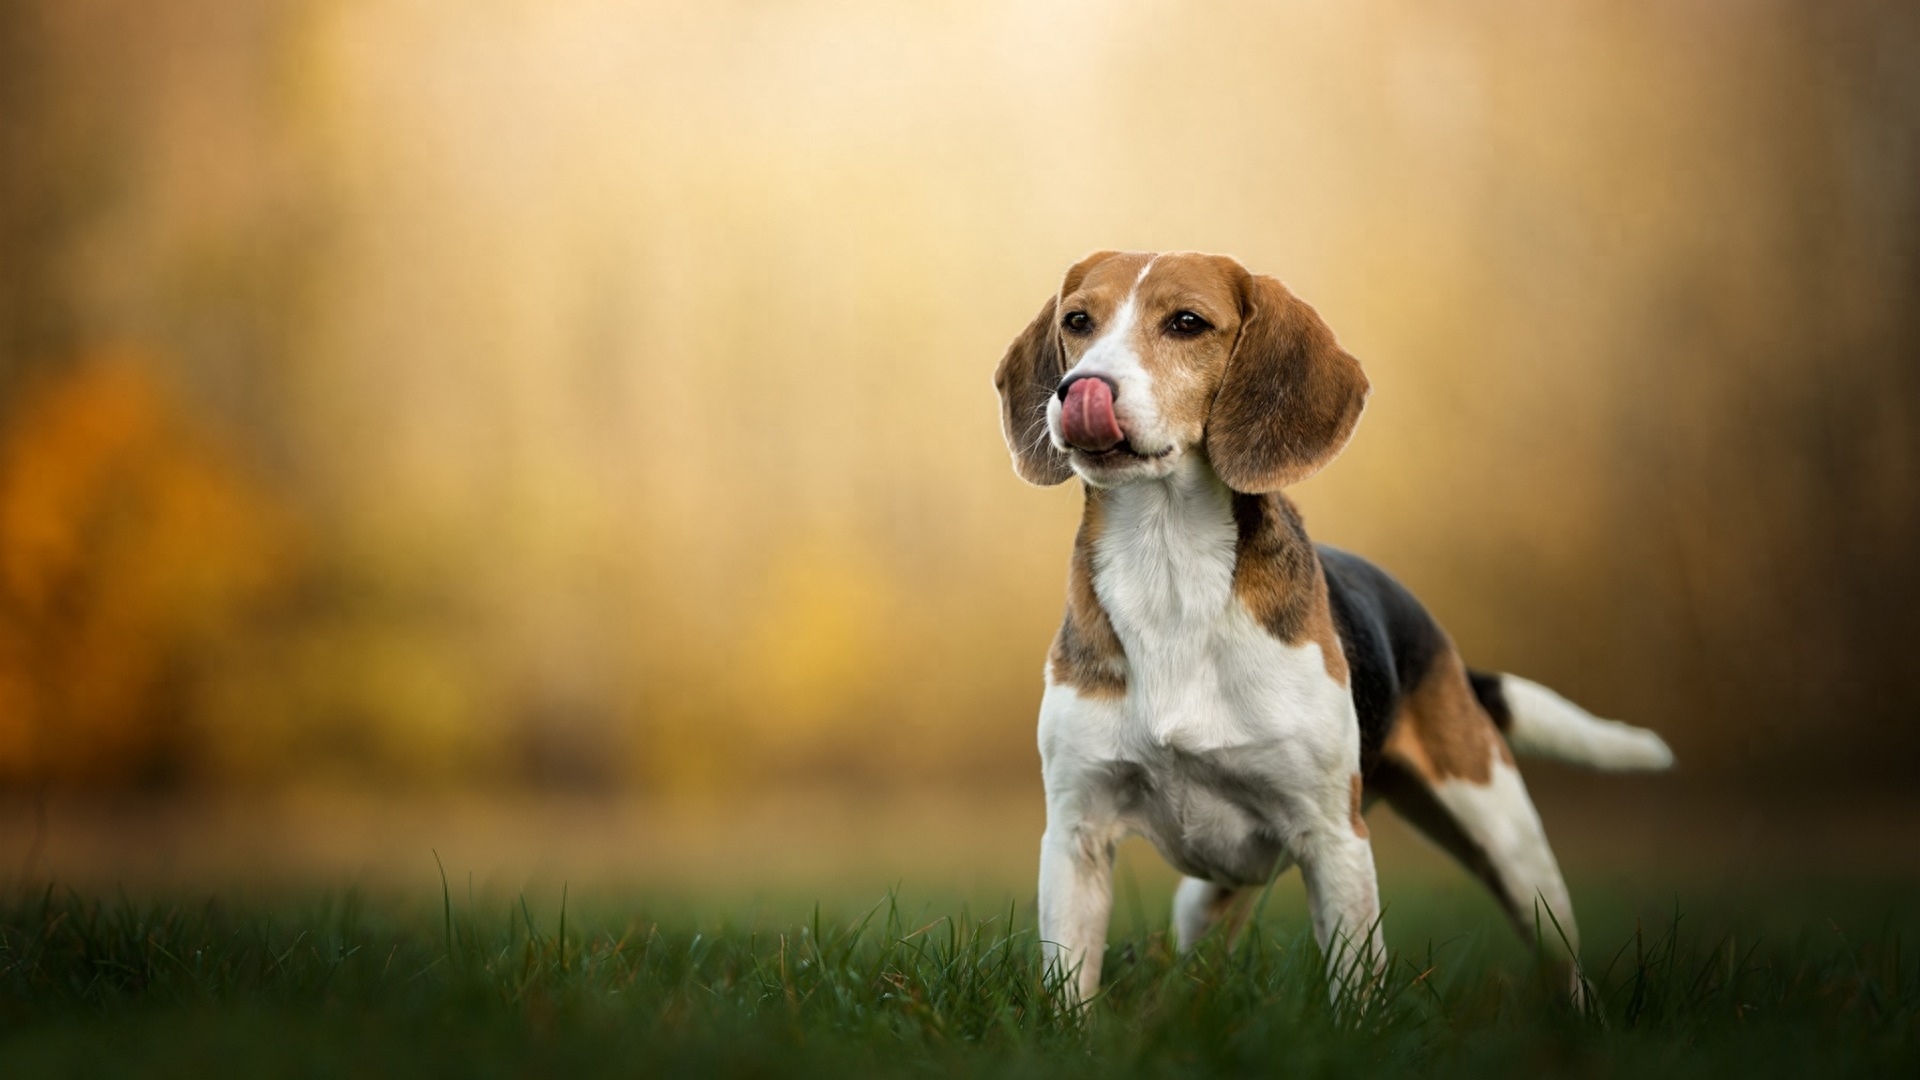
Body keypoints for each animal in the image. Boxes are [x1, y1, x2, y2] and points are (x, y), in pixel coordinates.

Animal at [998, 247, 1674, 999]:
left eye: (1187, 323)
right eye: (1077, 321)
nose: (1078, 390)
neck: (1168, 569)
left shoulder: (1333, 838)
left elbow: (1353, 985)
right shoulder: (1076, 834)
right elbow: (1067, 982)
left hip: (1508, 842)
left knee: (1560, 956)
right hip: (1210, 894)